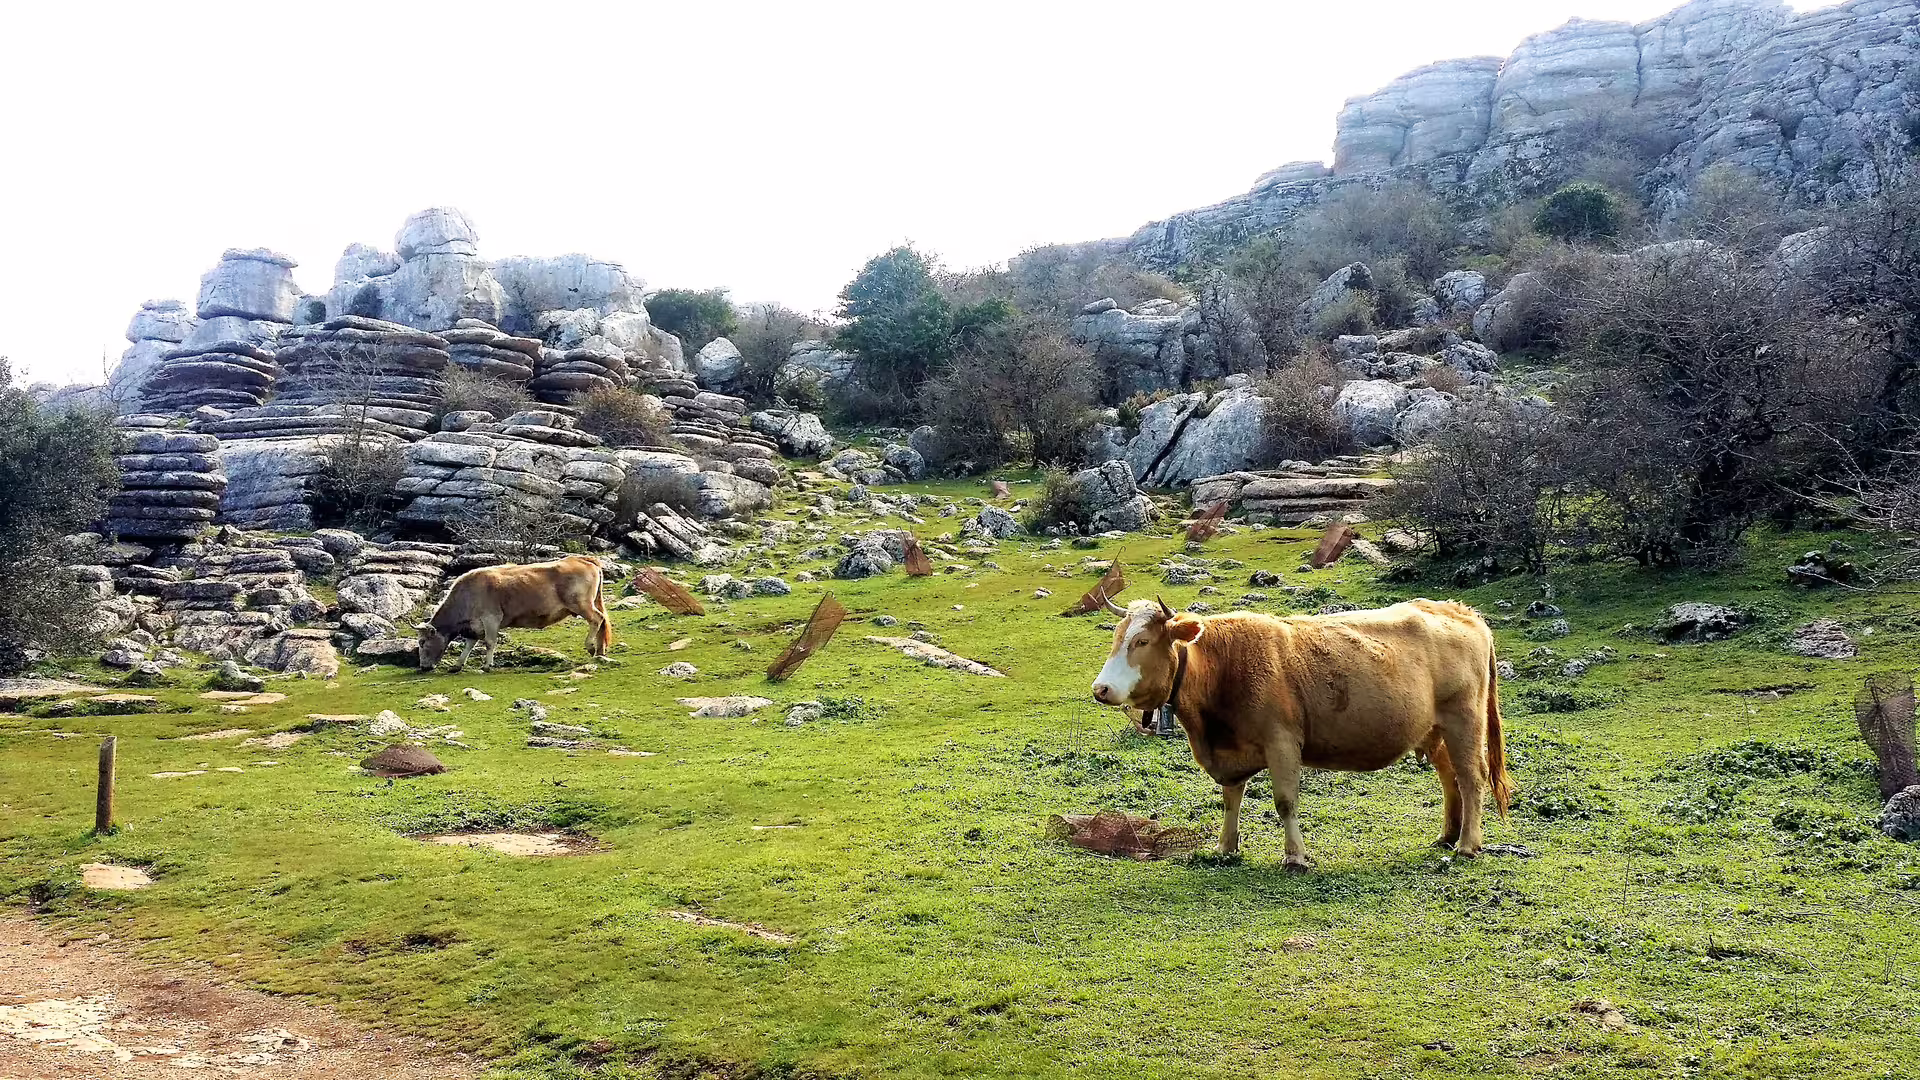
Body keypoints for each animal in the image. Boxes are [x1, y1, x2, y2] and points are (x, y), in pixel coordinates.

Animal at [416, 555, 613, 672]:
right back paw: (600, 651)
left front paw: (487, 665)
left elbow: (489, 642)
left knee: (597, 619)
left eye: (422, 642)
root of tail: (581, 558)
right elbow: (469, 645)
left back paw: (591, 647)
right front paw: (457, 665)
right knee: (602, 622)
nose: (423, 667)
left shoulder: (491, 618)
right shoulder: (474, 626)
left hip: (582, 604)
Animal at [1091, 596, 1510, 870]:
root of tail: (1461, 611)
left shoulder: (1282, 742)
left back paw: (1466, 845)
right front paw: (1226, 846)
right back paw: (1448, 835)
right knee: (1450, 778)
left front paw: (1295, 857)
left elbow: (1285, 802)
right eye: (1116, 638)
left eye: (1142, 641)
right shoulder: (1231, 750)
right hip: (1435, 729)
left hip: (1464, 721)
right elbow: (1230, 799)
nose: (1101, 689)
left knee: (1471, 779)